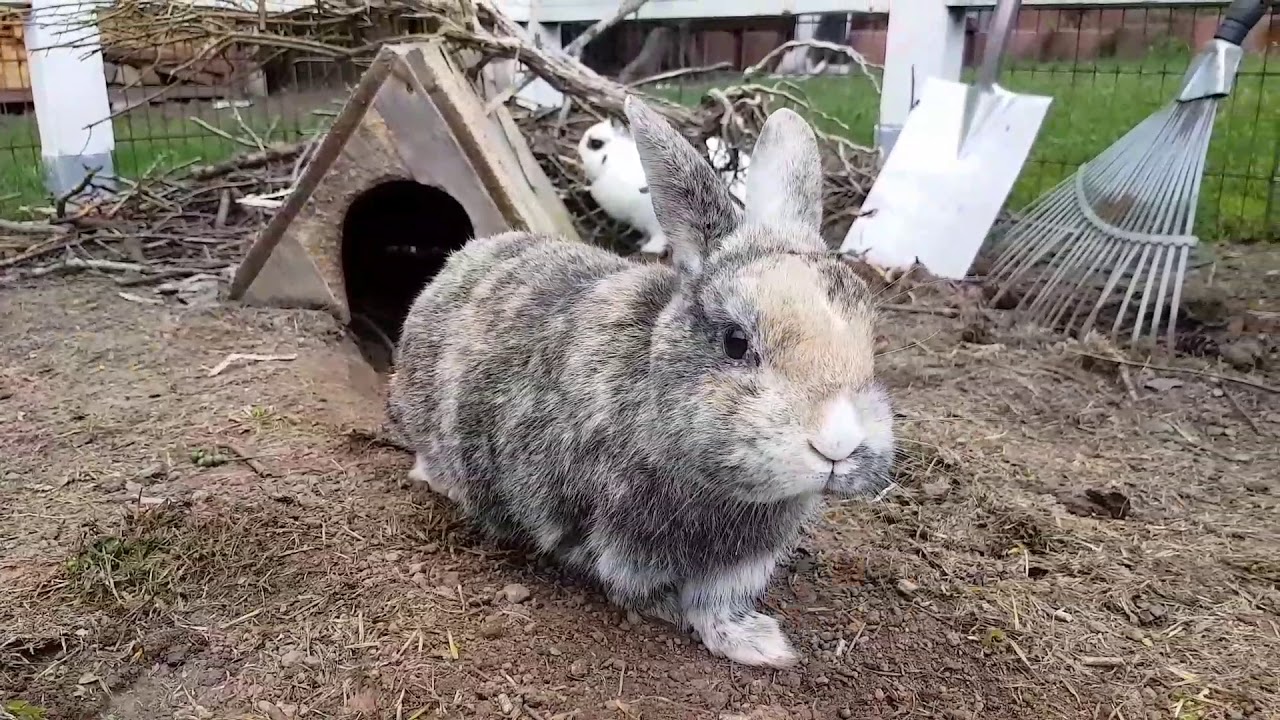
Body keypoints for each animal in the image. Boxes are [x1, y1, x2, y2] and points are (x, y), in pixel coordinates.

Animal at [387, 95, 895, 668]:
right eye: (735, 342)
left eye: (870, 339)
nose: (838, 445)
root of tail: (449, 271)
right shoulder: (626, 541)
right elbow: (650, 593)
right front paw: (695, 622)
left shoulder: (739, 565)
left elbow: (718, 606)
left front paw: (761, 647)